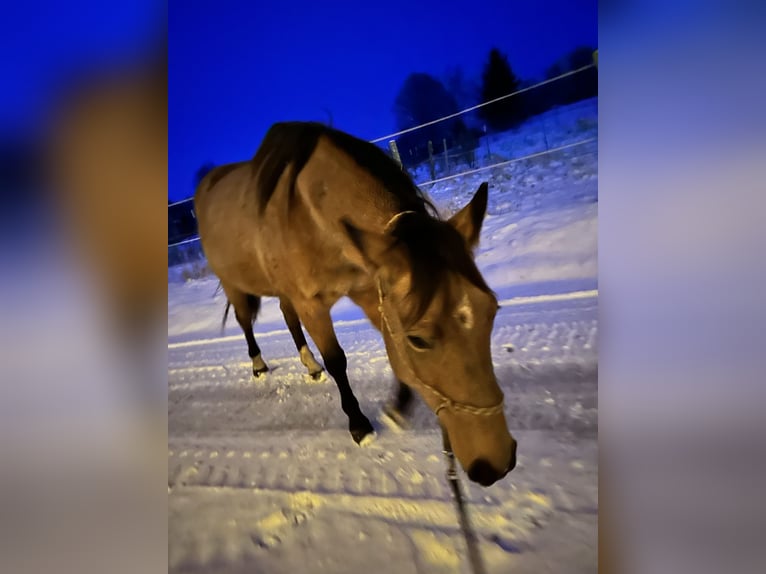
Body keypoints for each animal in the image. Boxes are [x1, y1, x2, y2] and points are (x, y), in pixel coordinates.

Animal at [194, 121, 517, 486]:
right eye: (419, 340)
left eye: (491, 311)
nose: (495, 464)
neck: (308, 214)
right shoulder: (313, 304)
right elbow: (337, 361)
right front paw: (359, 425)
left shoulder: (370, 290)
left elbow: (391, 350)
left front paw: (397, 407)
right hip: (235, 285)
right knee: (245, 321)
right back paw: (260, 365)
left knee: (287, 318)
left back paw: (310, 366)